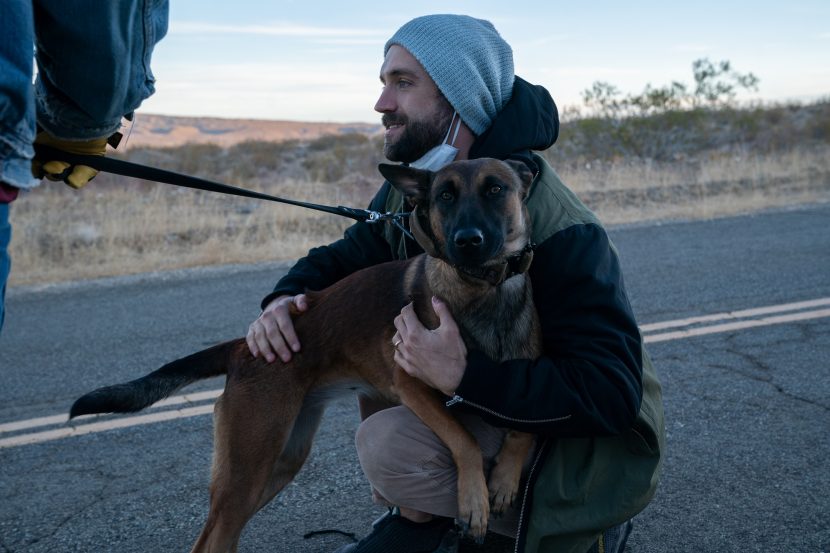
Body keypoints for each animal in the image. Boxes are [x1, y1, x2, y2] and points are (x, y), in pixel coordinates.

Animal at [70, 156, 540, 552]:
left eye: (495, 188)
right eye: (445, 196)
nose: (468, 241)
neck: (483, 287)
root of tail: (243, 346)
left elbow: (525, 428)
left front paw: (503, 480)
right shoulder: (412, 384)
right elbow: (464, 439)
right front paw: (474, 501)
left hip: (280, 459)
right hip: (248, 465)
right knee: (210, 542)